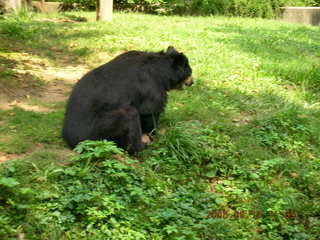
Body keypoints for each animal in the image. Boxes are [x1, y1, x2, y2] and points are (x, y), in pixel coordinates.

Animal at [62, 46, 192, 155]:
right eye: (190, 72)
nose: (192, 82)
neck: (160, 71)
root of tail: (74, 143)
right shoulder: (151, 87)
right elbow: (150, 111)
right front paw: (151, 136)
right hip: (99, 130)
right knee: (130, 117)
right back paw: (140, 147)